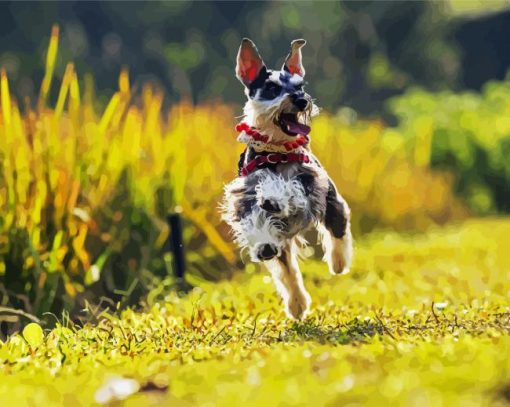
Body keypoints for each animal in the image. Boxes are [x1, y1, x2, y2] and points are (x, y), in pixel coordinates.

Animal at [221, 39, 352, 322]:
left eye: (300, 85)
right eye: (271, 88)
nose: (302, 100)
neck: (276, 151)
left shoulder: (309, 186)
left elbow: (289, 189)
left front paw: (275, 198)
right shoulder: (245, 198)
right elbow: (257, 220)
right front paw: (263, 242)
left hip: (332, 202)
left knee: (339, 228)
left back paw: (338, 262)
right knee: (287, 271)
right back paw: (296, 304)